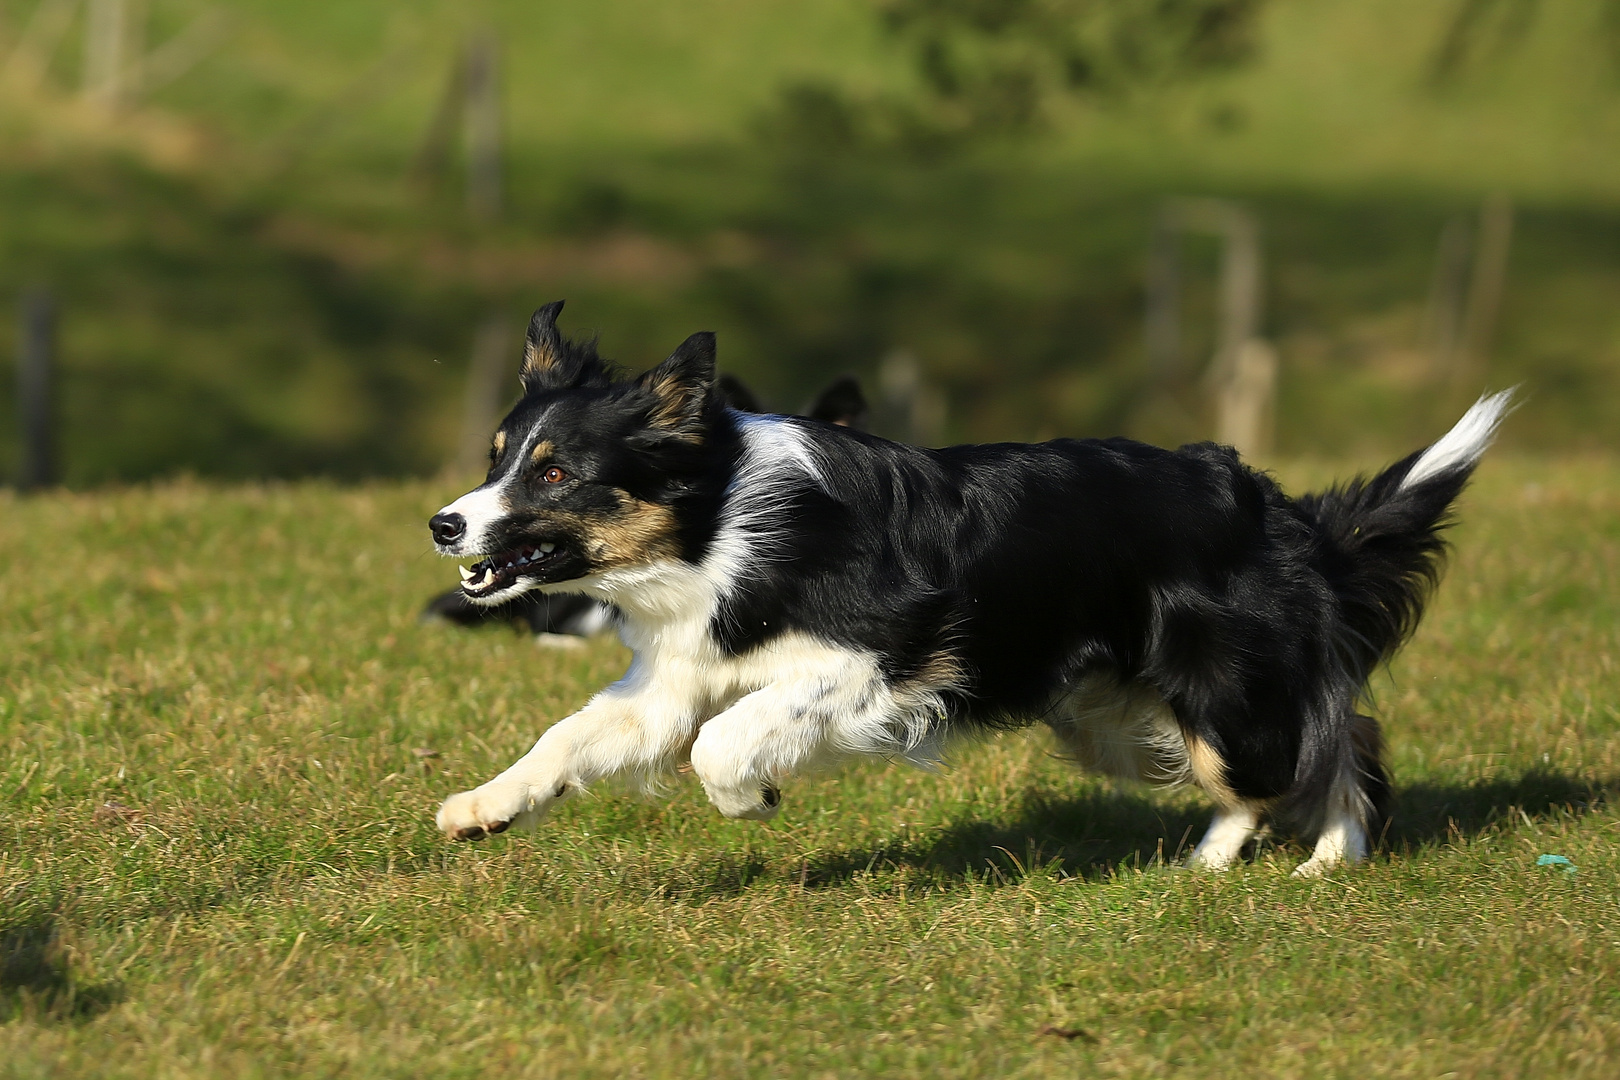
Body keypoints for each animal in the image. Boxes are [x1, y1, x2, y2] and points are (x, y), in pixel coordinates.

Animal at [427, 302, 1503, 880]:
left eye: (556, 473)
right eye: (498, 457)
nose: (445, 524)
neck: (716, 520)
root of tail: (1280, 510)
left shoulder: (888, 658)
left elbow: (723, 742)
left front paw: (752, 800)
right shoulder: (675, 677)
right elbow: (572, 738)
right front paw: (482, 808)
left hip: (1224, 691)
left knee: (1335, 735)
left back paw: (1334, 856)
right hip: (1108, 715)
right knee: (1276, 763)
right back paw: (1205, 864)